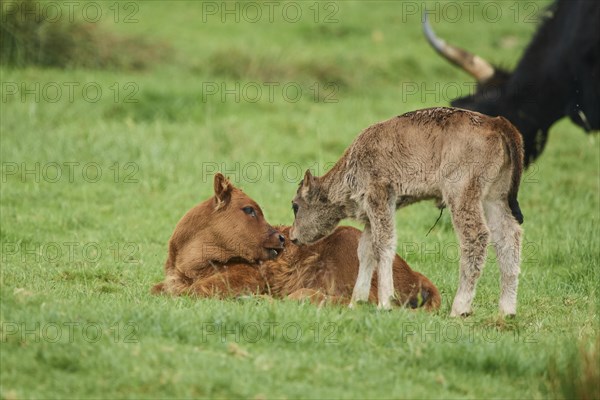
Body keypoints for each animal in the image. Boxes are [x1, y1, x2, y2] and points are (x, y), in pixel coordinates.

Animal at [151, 173, 440, 310]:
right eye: (248, 209)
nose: (281, 237)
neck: (189, 264)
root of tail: (417, 275)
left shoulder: (248, 277)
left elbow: (195, 290)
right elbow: (159, 289)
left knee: (363, 301)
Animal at [288, 108, 524, 318]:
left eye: (295, 206)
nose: (292, 236)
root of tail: (496, 121)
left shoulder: (380, 196)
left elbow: (383, 244)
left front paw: (384, 303)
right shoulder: (372, 213)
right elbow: (366, 250)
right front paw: (356, 303)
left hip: (461, 194)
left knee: (475, 237)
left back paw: (460, 308)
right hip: (494, 197)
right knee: (508, 236)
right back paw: (507, 311)